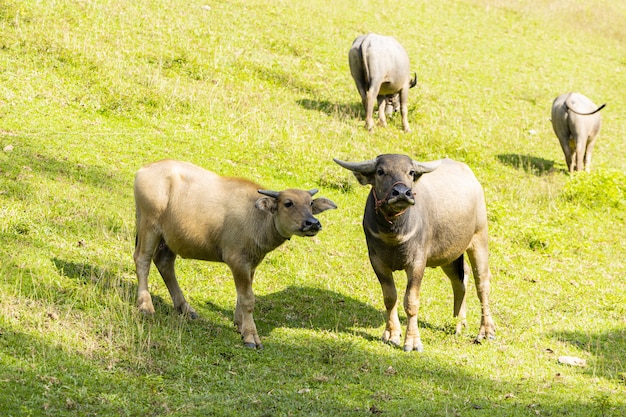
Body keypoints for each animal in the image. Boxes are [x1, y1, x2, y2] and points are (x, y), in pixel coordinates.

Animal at [132, 159, 336, 348]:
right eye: (288, 203)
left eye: (310, 203)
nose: (313, 223)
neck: (257, 218)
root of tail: (144, 170)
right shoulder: (237, 261)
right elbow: (248, 299)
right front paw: (251, 336)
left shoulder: (251, 264)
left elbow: (241, 296)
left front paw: (240, 324)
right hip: (149, 225)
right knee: (142, 259)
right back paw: (146, 305)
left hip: (169, 238)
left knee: (164, 263)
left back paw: (185, 308)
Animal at [334, 154, 494, 350]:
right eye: (380, 171)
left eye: (410, 172)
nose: (402, 193)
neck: (393, 234)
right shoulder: (377, 261)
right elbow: (390, 298)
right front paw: (391, 334)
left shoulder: (417, 262)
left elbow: (411, 301)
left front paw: (412, 341)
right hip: (449, 254)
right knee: (460, 280)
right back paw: (458, 323)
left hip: (479, 237)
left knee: (482, 284)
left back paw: (485, 332)